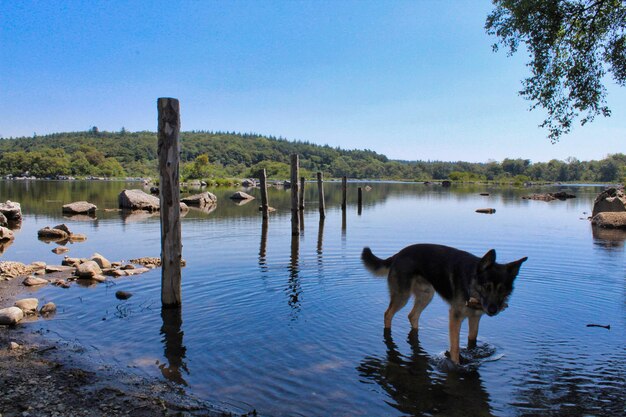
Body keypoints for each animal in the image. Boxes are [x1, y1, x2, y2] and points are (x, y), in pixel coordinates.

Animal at [360, 244, 528, 364]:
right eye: (487, 286)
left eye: (502, 290)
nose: (493, 310)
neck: (471, 283)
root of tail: (397, 255)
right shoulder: (455, 317)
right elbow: (454, 346)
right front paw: (456, 364)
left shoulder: (475, 317)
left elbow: (472, 338)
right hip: (403, 296)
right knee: (388, 314)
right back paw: (388, 333)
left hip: (426, 295)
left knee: (412, 315)